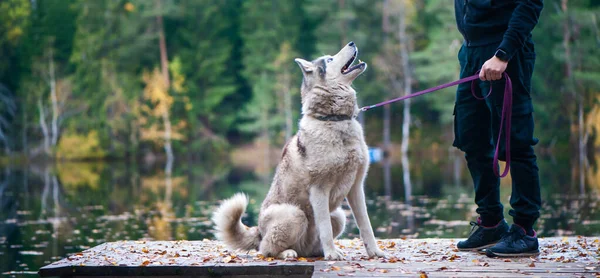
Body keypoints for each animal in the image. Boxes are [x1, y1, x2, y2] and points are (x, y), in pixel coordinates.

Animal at [213, 41, 386, 260]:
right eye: (329, 59)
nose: (352, 42)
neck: (334, 119)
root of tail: (258, 232)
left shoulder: (356, 188)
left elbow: (366, 225)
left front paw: (374, 252)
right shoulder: (319, 189)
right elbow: (325, 227)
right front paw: (332, 254)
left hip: (338, 215)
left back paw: (319, 251)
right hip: (295, 214)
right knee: (266, 249)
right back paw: (288, 252)